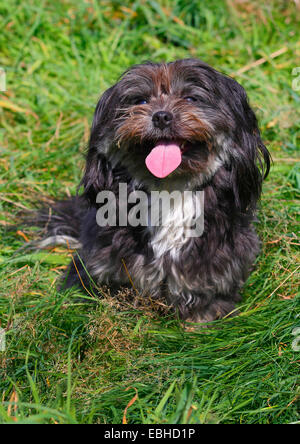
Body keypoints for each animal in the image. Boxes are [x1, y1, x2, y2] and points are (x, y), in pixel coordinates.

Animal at [32, 59, 270, 322]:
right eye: (141, 101)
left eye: (191, 98)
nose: (162, 117)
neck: (169, 190)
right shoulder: (103, 260)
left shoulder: (219, 262)